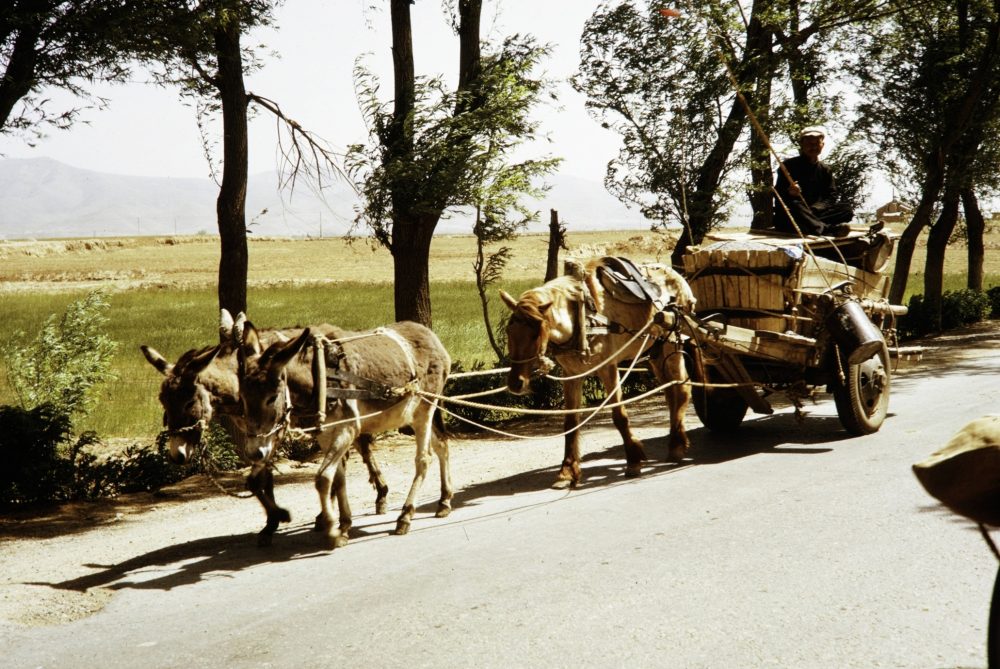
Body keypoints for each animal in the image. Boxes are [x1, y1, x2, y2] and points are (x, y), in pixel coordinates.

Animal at [142, 310, 390, 544]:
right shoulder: (259, 435)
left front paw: (280, 517)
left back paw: (368, 500)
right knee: (358, 448)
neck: (237, 379)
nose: (177, 455)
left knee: (355, 450)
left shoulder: (273, 431)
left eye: (188, 402)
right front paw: (272, 522)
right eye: (163, 401)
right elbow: (257, 480)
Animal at [238, 320, 450, 548]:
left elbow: (322, 478)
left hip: (424, 410)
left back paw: (405, 516)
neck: (319, 376)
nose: (255, 453)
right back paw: (444, 501)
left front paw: (332, 530)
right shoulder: (326, 435)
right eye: (243, 398)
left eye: (271, 397)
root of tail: (428, 334)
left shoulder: (348, 429)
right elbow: (337, 479)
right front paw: (344, 524)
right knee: (441, 445)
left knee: (424, 459)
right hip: (411, 414)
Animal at [500, 258, 696, 488]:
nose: (516, 383)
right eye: (509, 331)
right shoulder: (571, 375)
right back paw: (676, 441)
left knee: (682, 390)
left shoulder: (608, 369)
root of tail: (676, 275)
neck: (582, 319)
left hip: (672, 344)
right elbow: (571, 423)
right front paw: (566, 471)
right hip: (655, 352)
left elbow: (619, 416)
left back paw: (676, 446)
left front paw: (633, 460)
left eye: (535, 334)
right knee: (671, 393)